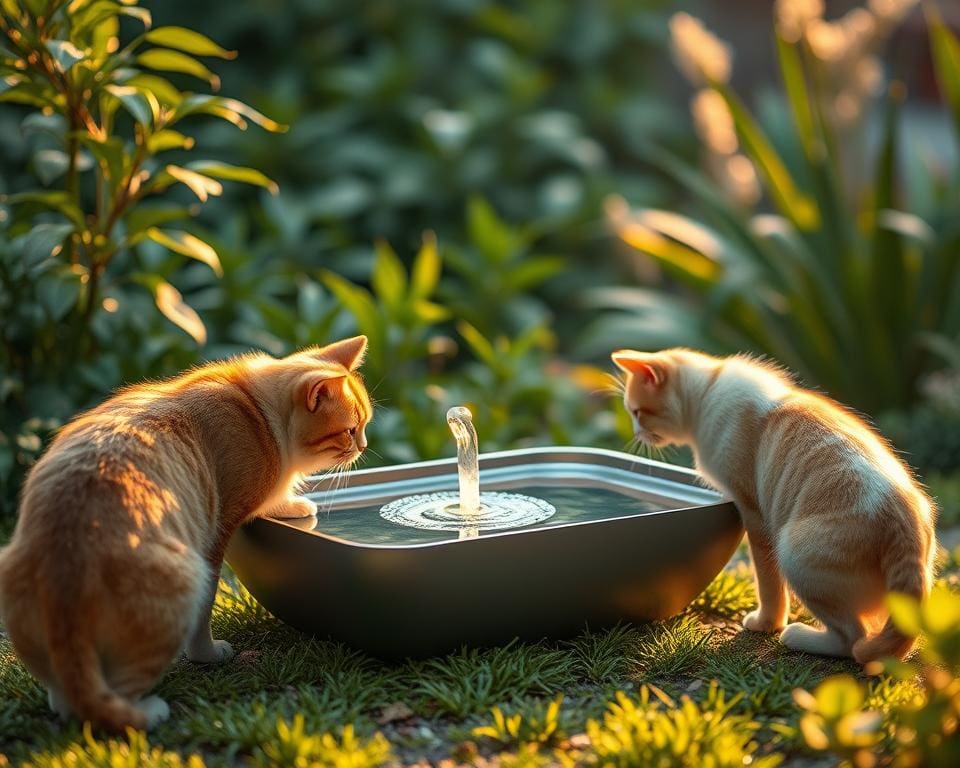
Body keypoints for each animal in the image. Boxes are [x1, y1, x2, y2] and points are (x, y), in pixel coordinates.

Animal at [0, 336, 372, 732]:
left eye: (364, 425)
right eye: (351, 430)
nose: (364, 446)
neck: (256, 410)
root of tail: (66, 571)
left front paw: (291, 502)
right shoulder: (218, 532)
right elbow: (205, 611)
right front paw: (207, 654)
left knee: (65, 694)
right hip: (183, 579)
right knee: (109, 699)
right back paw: (150, 710)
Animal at [612, 352, 932, 664]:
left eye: (637, 413)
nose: (636, 433)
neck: (709, 388)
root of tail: (905, 527)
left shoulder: (753, 512)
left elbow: (767, 580)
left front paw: (766, 624)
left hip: (793, 553)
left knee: (853, 640)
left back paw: (798, 636)